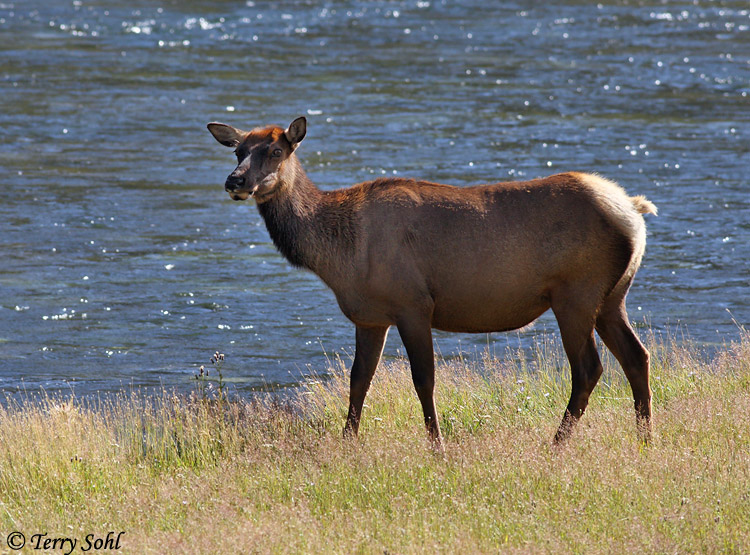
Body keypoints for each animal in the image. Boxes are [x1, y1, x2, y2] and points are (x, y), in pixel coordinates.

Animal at [207, 116, 657, 449]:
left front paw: (437, 445)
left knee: (589, 368)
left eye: (276, 151)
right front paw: (347, 443)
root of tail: (634, 212)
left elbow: (424, 379)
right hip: (612, 297)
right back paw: (645, 440)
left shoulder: (413, 304)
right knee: (637, 356)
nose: (235, 181)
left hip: (576, 294)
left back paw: (557, 444)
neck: (337, 255)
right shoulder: (370, 316)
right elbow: (358, 380)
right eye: (238, 150)